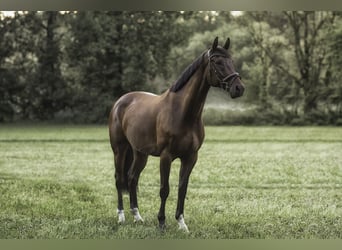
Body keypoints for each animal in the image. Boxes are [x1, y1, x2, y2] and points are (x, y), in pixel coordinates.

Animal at [108, 36, 244, 231]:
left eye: (231, 61)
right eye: (217, 62)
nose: (239, 88)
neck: (183, 112)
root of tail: (120, 101)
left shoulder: (190, 157)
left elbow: (182, 188)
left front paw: (181, 223)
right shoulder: (166, 156)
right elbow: (165, 189)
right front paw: (162, 222)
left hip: (140, 153)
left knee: (132, 178)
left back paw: (137, 216)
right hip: (119, 150)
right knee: (119, 179)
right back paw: (121, 217)